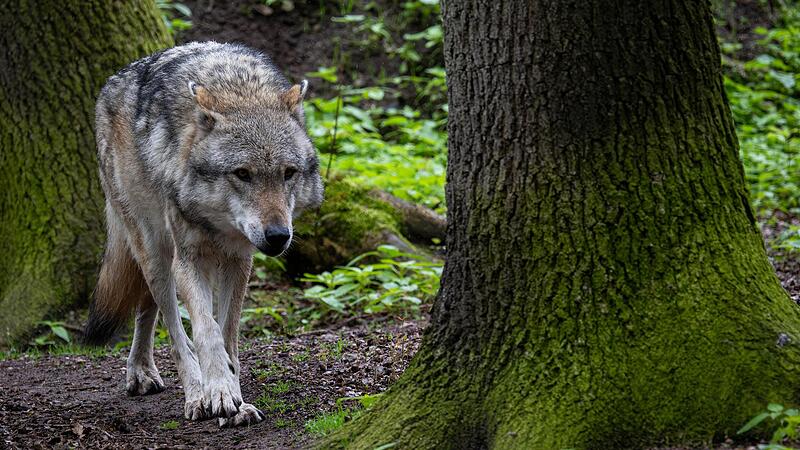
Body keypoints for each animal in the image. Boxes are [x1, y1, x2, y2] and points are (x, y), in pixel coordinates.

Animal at [84, 42, 323, 427]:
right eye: (242, 173)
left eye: (288, 173)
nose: (277, 236)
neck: (237, 89)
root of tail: (112, 82)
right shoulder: (189, 261)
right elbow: (206, 333)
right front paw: (219, 393)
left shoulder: (239, 261)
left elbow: (227, 335)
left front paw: (235, 397)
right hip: (156, 254)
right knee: (174, 329)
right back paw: (194, 394)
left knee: (147, 309)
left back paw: (143, 370)